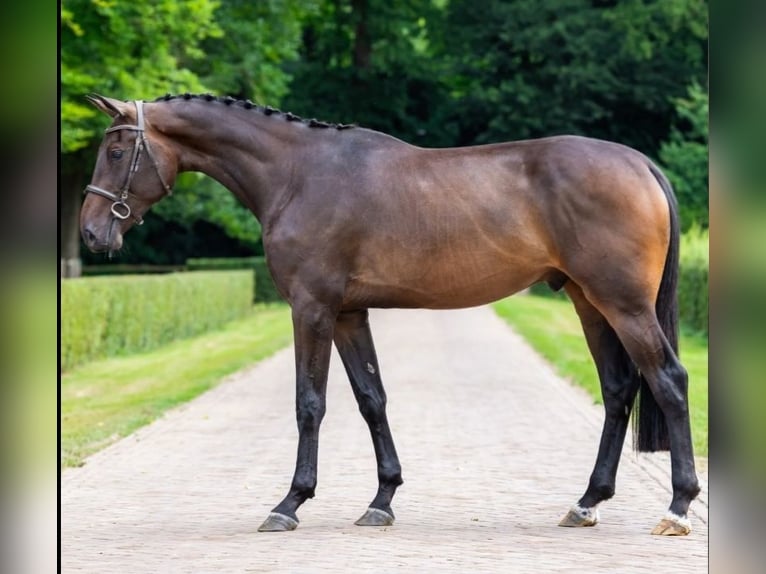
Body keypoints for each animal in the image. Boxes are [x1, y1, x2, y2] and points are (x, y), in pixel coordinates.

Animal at [80, 94, 700, 536]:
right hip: (588, 301)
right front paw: (382, 499)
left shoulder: (312, 308)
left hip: (623, 304)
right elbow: (371, 399)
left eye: (116, 151)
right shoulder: (350, 313)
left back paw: (677, 507)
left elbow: (310, 403)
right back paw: (587, 502)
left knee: (668, 381)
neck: (297, 173)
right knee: (619, 389)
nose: (90, 232)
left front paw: (290, 502)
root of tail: (639, 163)